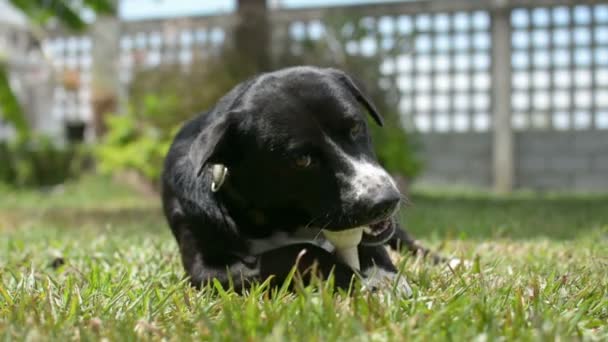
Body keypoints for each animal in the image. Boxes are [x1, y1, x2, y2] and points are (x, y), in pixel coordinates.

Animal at [162, 66, 436, 294]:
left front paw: (383, 276)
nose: (385, 201)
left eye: (356, 127)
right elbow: (298, 253)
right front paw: (357, 279)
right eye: (302, 160)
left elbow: (370, 244)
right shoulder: (206, 269)